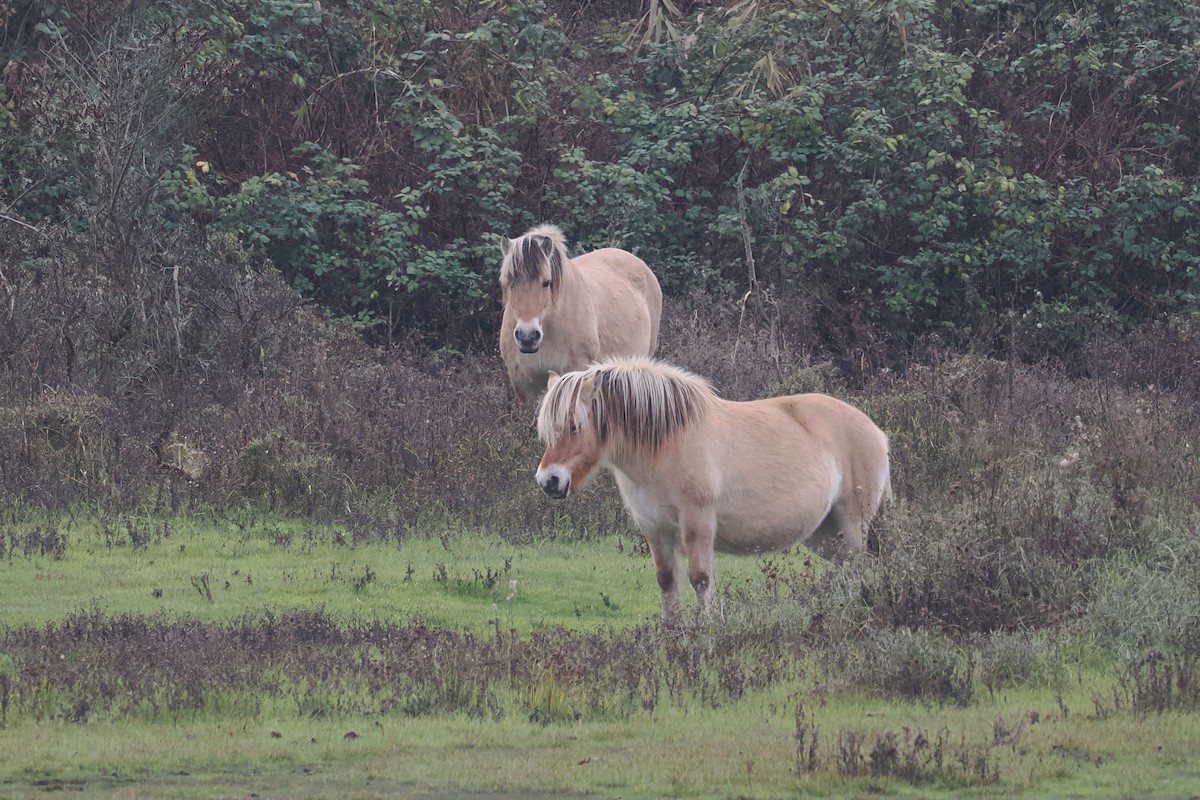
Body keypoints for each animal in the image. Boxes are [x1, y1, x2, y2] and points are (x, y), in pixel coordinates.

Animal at [534, 356, 892, 625]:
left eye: (576, 425)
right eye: (549, 430)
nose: (549, 481)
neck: (667, 444)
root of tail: (876, 431)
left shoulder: (698, 522)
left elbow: (700, 578)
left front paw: (705, 634)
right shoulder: (654, 528)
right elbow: (667, 580)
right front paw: (672, 635)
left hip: (852, 525)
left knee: (857, 569)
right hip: (825, 535)